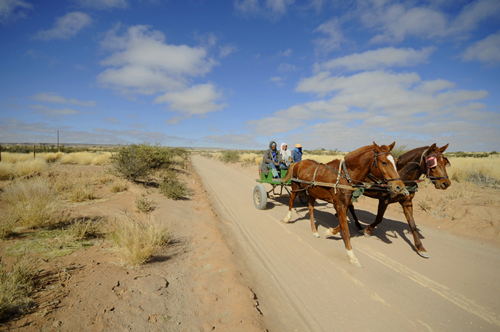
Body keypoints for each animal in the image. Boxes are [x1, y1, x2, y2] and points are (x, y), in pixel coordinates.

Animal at [280, 141, 408, 266]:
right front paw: (351, 255)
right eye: (384, 162)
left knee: (311, 208)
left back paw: (314, 231)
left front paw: (330, 232)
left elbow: (342, 224)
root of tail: (297, 163)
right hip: (295, 187)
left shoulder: (344, 204)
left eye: (396, 162)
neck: (345, 176)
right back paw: (287, 218)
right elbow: (346, 231)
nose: (399, 187)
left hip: (312, 192)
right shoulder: (340, 205)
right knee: (291, 201)